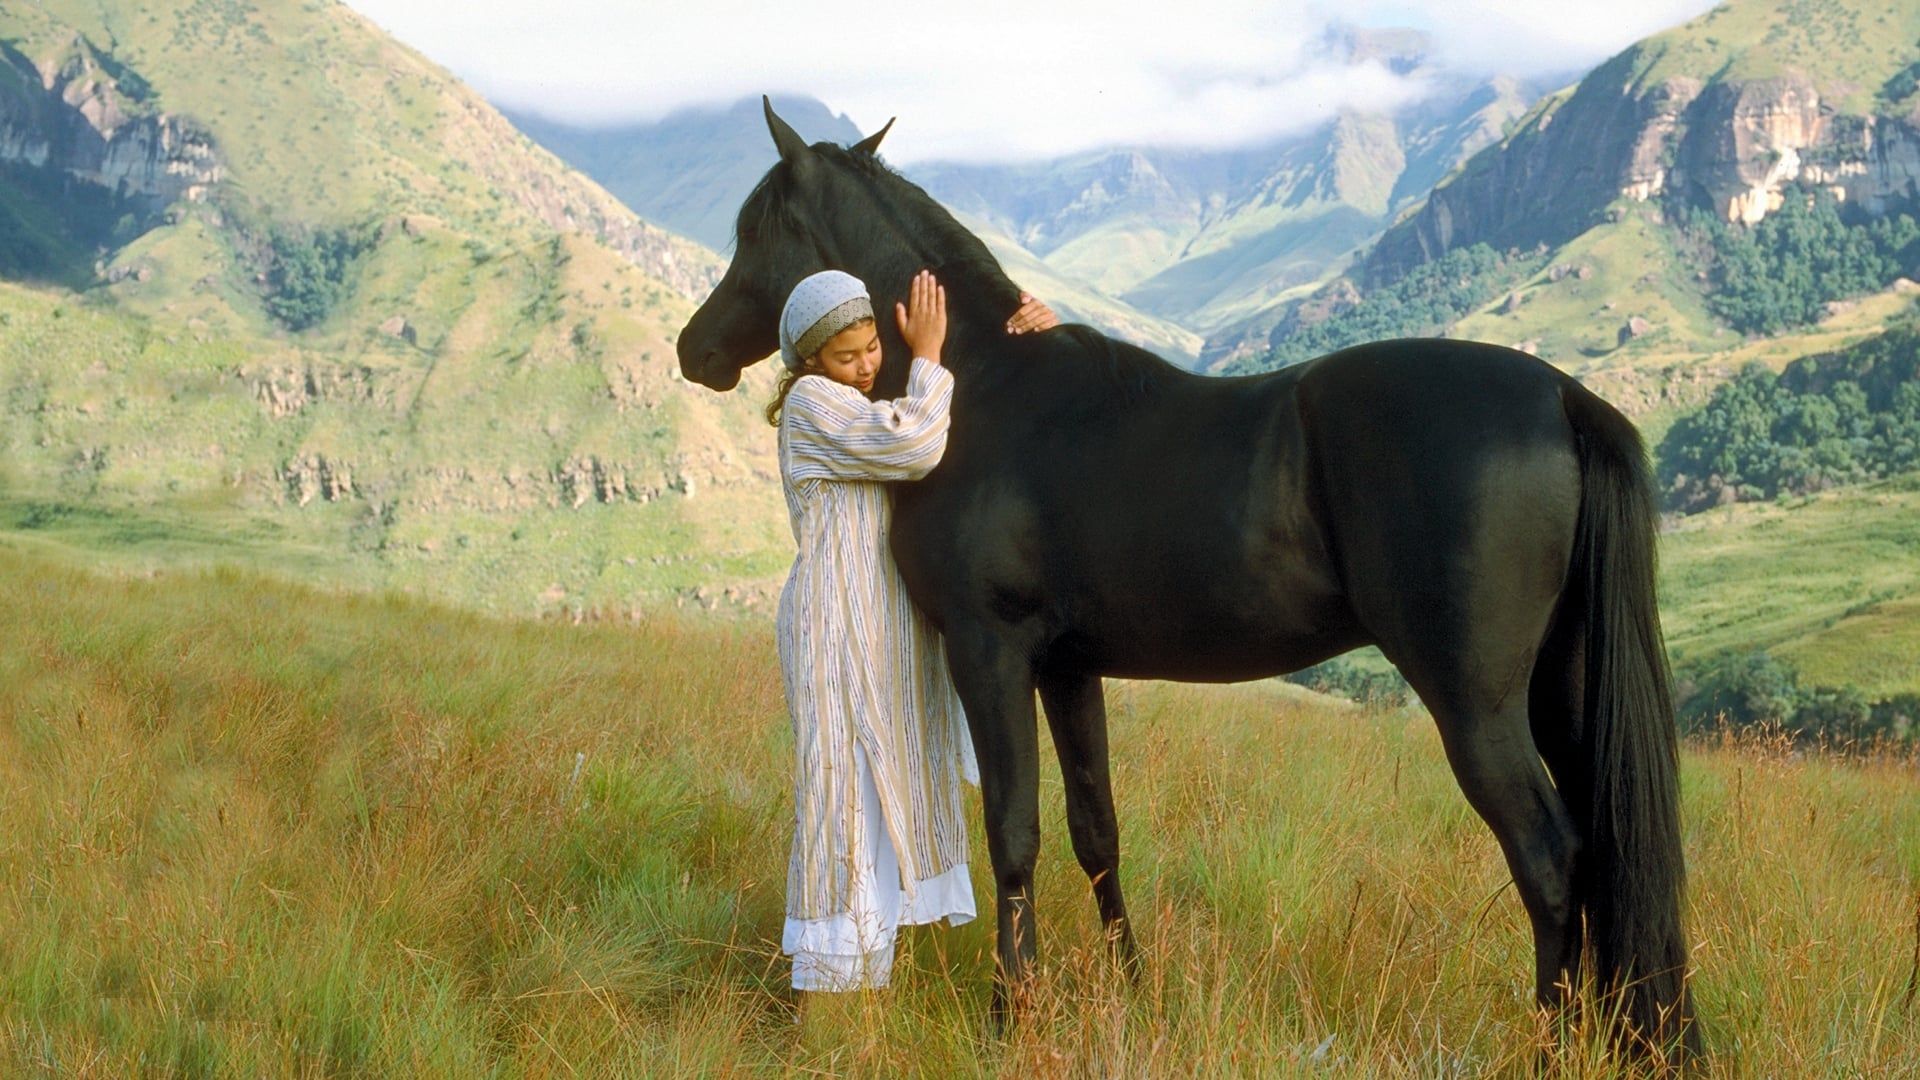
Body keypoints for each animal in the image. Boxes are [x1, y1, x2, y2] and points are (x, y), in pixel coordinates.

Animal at [678, 99, 1696, 1060]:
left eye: (753, 229)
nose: (695, 350)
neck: (982, 389)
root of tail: (1558, 395)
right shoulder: (1067, 668)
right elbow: (1095, 832)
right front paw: (1129, 990)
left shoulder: (989, 651)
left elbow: (1014, 833)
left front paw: (1010, 1015)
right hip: (1561, 691)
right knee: (1599, 849)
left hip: (1477, 704)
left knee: (1551, 860)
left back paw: (1552, 1043)